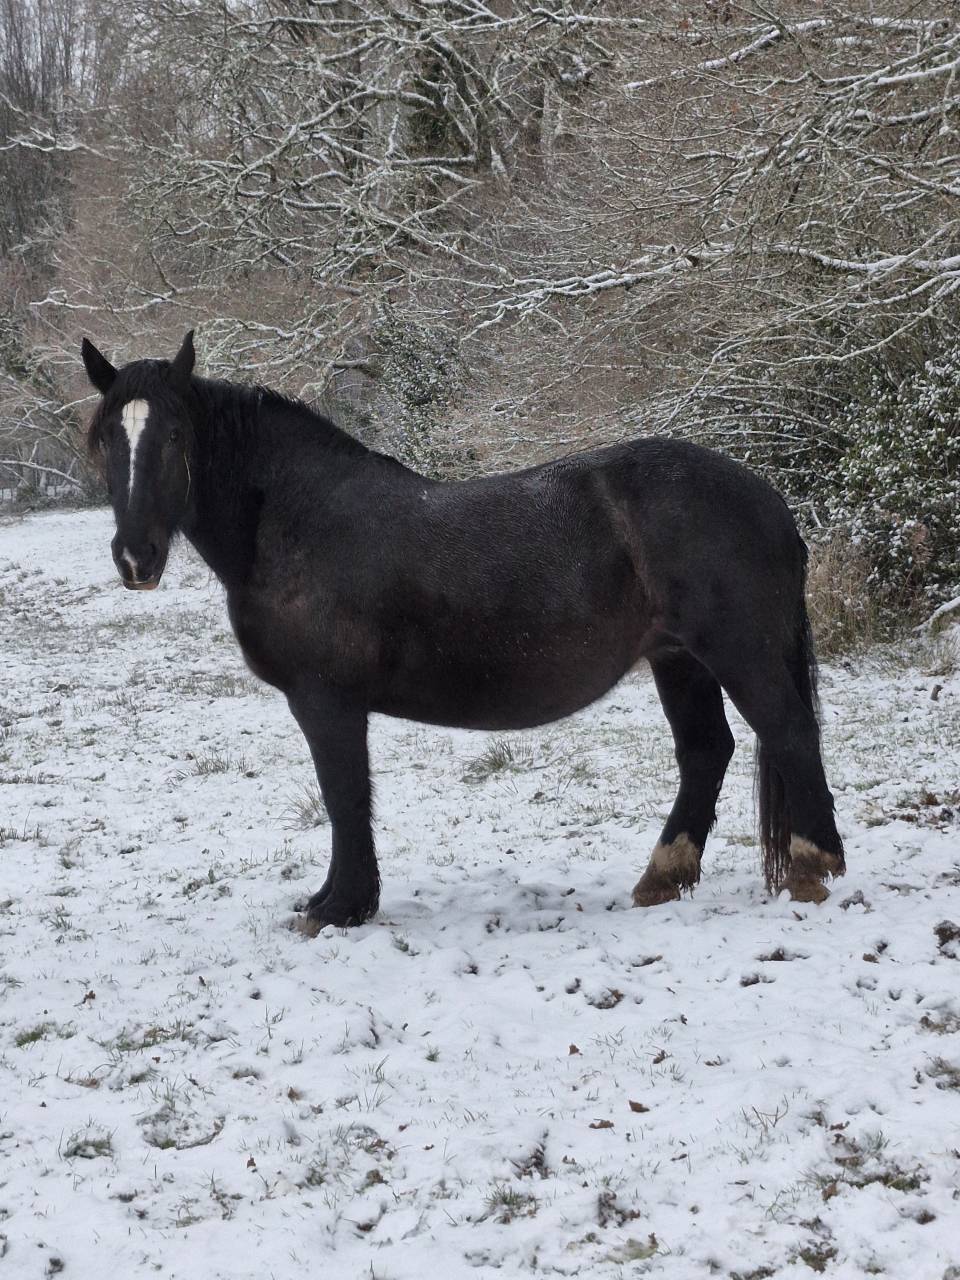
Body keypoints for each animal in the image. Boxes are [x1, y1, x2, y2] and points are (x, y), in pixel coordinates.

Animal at [81, 330, 845, 930]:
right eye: (107, 438)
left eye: (174, 435)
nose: (135, 558)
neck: (298, 520)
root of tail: (768, 499)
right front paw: (333, 900)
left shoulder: (325, 701)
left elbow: (343, 795)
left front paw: (341, 907)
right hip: (677, 658)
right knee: (706, 751)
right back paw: (663, 877)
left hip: (736, 650)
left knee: (787, 731)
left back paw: (814, 868)